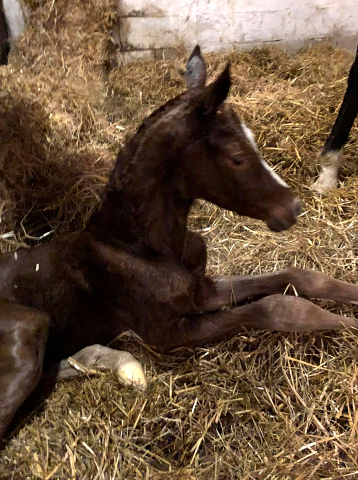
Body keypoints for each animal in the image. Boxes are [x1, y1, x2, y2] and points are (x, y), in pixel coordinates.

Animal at [0, 45, 358, 438]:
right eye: (237, 158)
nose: (292, 207)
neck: (143, 247)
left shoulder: (201, 290)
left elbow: (298, 277)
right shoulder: (167, 332)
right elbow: (280, 307)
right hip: (30, 326)